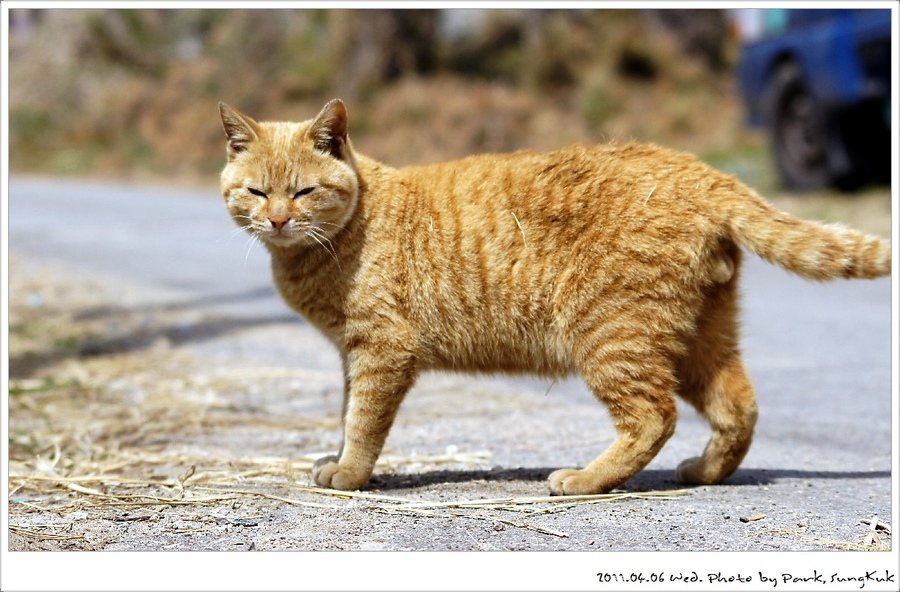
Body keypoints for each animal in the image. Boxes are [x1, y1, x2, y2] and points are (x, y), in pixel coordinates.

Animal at [218, 98, 892, 494]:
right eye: (256, 192)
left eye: (303, 192)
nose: (277, 219)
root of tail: (701, 170)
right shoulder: (350, 354)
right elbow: (344, 412)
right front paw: (335, 459)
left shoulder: (382, 351)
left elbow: (361, 421)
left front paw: (349, 474)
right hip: (703, 337)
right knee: (739, 408)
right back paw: (703, 474)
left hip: (610, 336)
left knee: (653, 418)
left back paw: (584, 480)